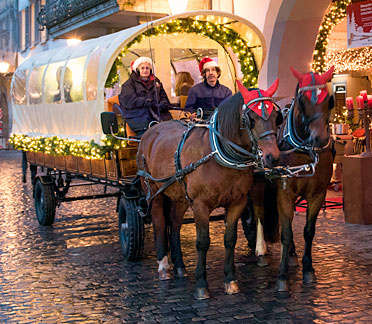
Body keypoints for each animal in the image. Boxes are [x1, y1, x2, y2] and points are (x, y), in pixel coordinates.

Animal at [138, 80, 280, 298]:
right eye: (252, 119)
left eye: (275, 117)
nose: (272, 157)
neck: (218, 154)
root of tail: (152, 129)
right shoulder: (200, 205)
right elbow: (202, 242)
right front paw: (201, 285)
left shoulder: (237, 203)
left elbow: (230, 239)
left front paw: (230, 280)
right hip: (154, 191)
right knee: (160, 223)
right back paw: (163, 266)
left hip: (180, 195)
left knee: (175, 224)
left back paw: (180, 266)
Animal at [248, 66, 336, 292]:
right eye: (302, 101)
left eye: (329, 99)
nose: (320, 138)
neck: (305, 151)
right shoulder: (284, 192)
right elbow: (286, 233)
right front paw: (282, 277)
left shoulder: (317, 194)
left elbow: (308, 231)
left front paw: (308, 269)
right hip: (258, 184)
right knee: (259, 214)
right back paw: (261, 250)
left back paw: (292, 254)